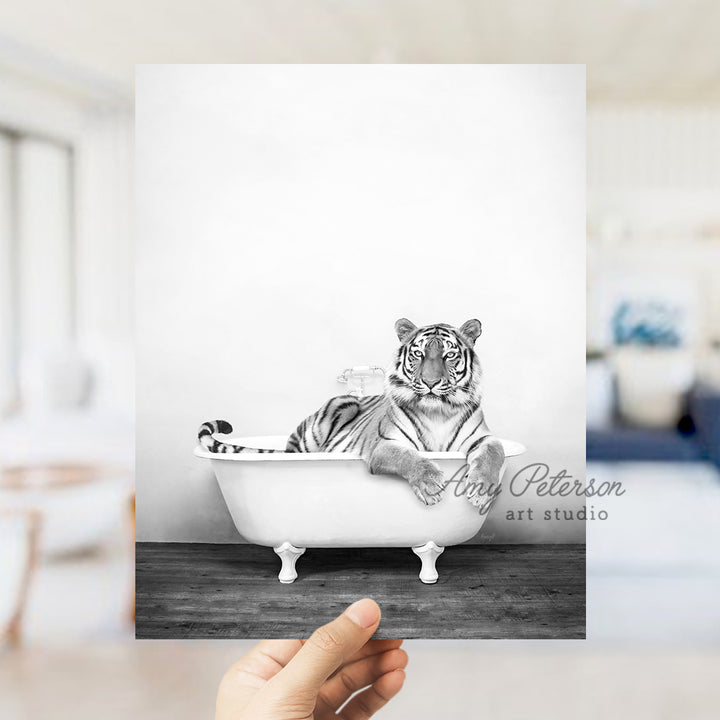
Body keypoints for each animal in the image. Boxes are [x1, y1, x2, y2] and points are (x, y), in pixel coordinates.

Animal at [198, 318, 506, 510]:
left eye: (448, 355)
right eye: (418, 354)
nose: (430, 382)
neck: (437, 412)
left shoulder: (483, 438)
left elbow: (495, 452)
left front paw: (481, 490)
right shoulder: (384, 446)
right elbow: (408, 457)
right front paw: (430, 484)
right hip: (339, 407)